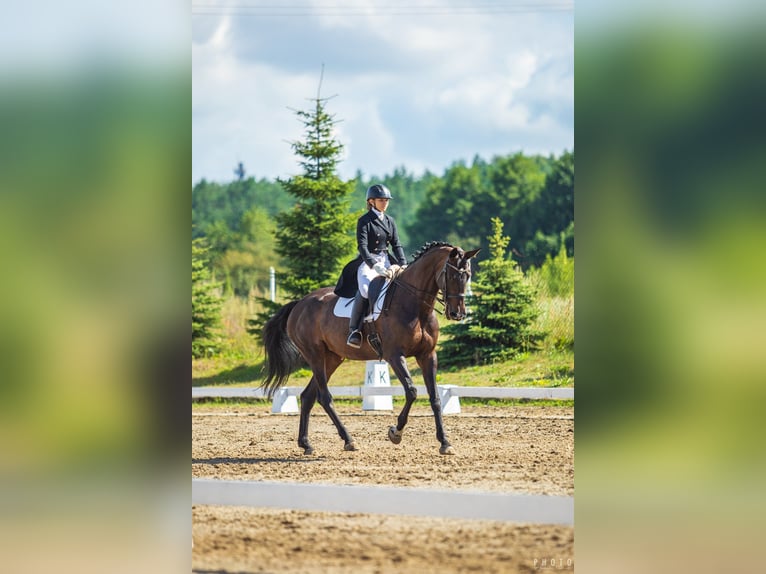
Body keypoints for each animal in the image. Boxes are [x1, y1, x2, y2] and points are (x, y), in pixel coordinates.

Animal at [264, 244, 480, 460]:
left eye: (467, 275)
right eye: (452, 275)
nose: (458, 314)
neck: (415, 306)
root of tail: (299, 304)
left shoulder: (427, 356)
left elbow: (435, 397)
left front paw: (445, 442)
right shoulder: (395, 356)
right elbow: (411, 391)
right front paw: (395, 433)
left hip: (332, 358)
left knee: (308, 396)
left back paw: (306, 444)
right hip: (314, 355)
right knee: (324, 397)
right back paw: (348, 440)